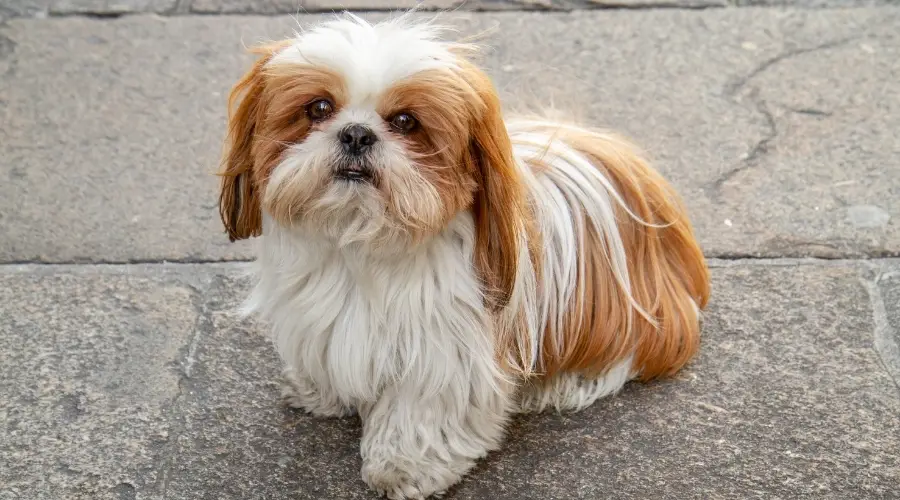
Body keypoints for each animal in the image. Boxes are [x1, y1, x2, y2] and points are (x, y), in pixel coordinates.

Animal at [216, 12, 712, 500]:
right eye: (318, 109)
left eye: (406, 121)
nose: (357, 134)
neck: (363, 243)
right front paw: (320, 391)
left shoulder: (444, 351)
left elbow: (421, 410)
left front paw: (402, 466)